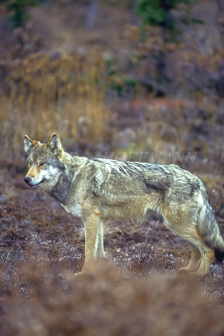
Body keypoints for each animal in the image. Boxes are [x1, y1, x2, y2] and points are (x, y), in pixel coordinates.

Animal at [23, 133, 223, 274]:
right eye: (30, 163)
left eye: (42, 164)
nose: (26, 179)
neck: (73, 177)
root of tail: (197, 179)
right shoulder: (98, 219)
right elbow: (98, 251)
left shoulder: (91, 218)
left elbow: (88, 252)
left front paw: (84, 275)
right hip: (180, 229)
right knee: (197, 251)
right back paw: (188, 273)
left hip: (178, 227)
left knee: (208, 250)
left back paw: (198, 277)